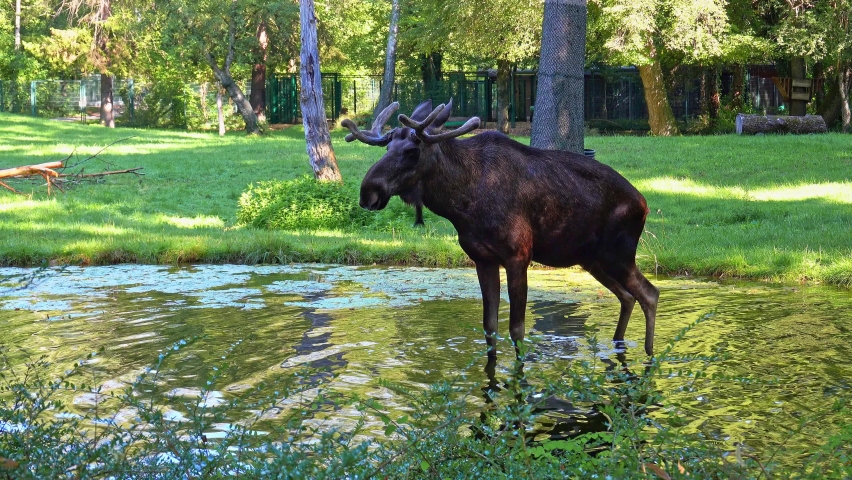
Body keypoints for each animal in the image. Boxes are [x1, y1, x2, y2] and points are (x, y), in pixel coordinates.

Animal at [342, 99, 659, 358]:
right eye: (388, 146)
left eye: (412, 150)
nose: (368, 192)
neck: (461, 205)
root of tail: (644, 204)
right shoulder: (482, 258)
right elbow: (489, 326)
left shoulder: (518, 256)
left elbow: (517, 330)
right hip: (593, 260)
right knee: (628, 296)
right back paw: (618, 345)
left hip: (618, 254)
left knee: (649, 293)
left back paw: (649, 354)